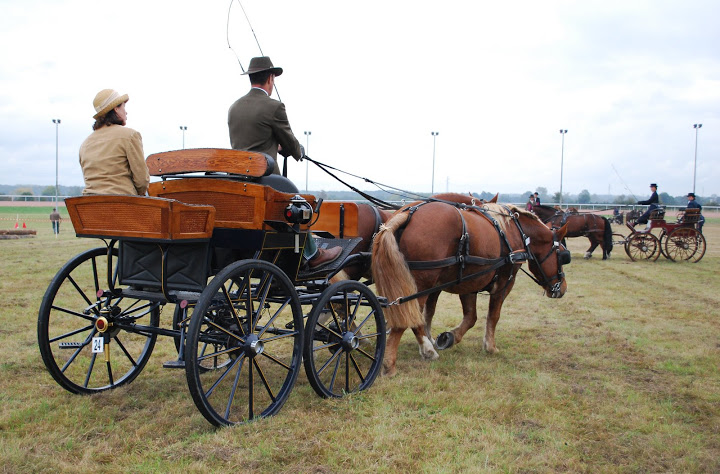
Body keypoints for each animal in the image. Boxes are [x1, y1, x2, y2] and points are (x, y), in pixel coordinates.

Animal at [372, 198, 568, 376]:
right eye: (562, 255)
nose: (562, 288)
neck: (514, 232)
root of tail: (409, 212)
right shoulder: (504, 282)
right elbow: (493, 316)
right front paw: (490, 347)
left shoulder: (470, 283)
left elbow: (470, 317)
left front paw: (449, 337)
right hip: (419, 285)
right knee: (406, 318)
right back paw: (393, 363)